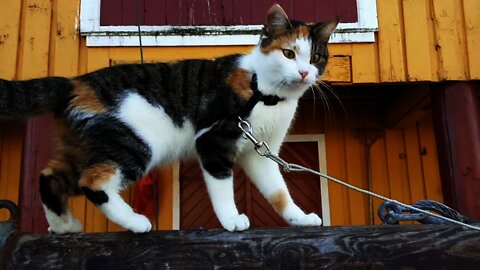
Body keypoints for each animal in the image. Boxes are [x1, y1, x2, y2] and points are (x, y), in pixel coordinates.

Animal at [0, 3, 338, 232]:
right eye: (289, 54)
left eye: (316, 57)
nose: (304, 72)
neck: (266, 92)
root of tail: (76, 82)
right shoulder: (213, 139)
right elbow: (221, 185)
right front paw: (231, 219)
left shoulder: (260, 152)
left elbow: (278, 190)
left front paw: (300, 218)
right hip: (135, 143)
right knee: (92, 181)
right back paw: (136, 222)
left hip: (87, 144)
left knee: (51, 176)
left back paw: (64, 226)